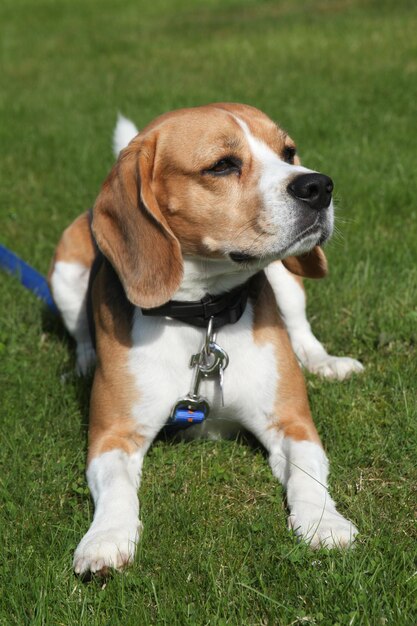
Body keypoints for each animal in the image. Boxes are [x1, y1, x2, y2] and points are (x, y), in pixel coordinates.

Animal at [49, 102, 360, 576]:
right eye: (222, 165)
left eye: (288, 152)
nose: (318, 185)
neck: (203, 316)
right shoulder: (112, 435)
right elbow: (117, 490)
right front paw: (105, 539)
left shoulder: (292, 422)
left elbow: (308, 473)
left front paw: (325, 522)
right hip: (65, 272)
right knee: (81, 331)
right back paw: (83, 363)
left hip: (286, 280)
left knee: (300, 327)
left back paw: (325, 361)